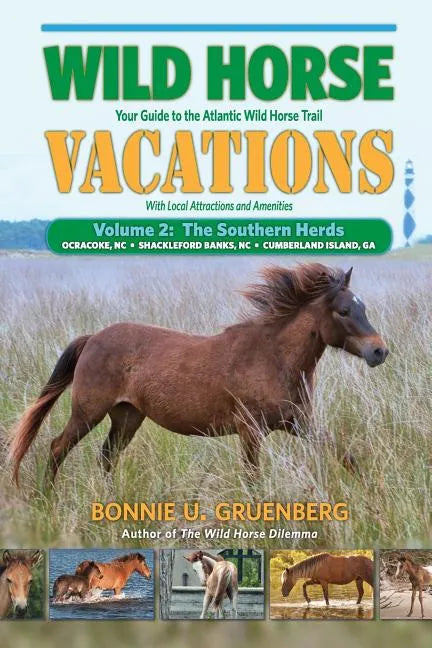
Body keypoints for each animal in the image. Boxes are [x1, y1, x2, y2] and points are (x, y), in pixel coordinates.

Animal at [9, 263, 388, 488]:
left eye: (363, 308)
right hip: (89, 412)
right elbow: (253, 479)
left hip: (127, 417)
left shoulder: (300, 423)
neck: (273, 357)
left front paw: (370, 494)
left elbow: (346, 456)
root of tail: (93, 338)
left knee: (106, 457)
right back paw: (47, 498)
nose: (379, 351)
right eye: (343, 311)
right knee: (58, 447)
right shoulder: (250, 430)